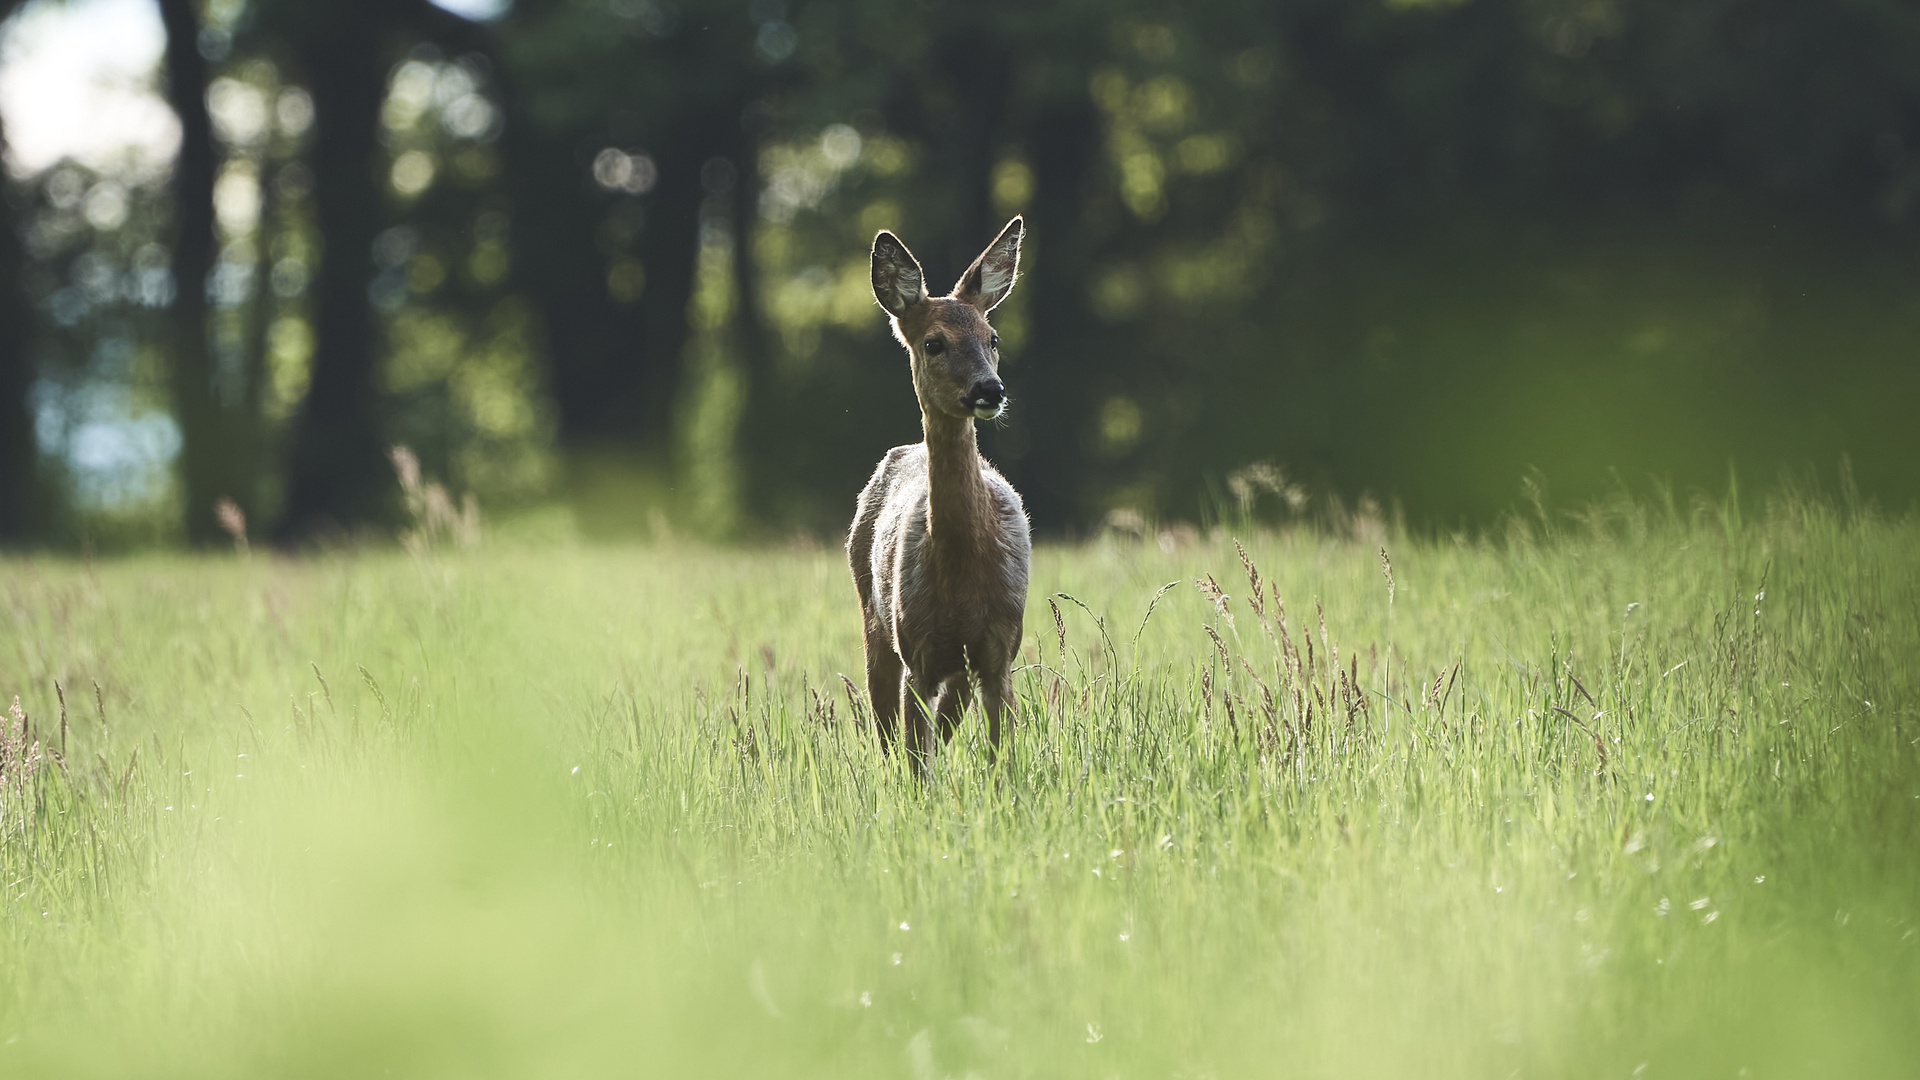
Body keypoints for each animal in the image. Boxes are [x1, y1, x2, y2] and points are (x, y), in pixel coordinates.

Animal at [852, 216, 1036, 764]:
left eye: (993, 337)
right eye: (934, 343)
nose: (990, 389)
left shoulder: (999, 651)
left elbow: (1002, 759)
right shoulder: (919, 653)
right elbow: (916, 757)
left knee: (944, 721)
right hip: (874, 619)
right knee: (886, 729)